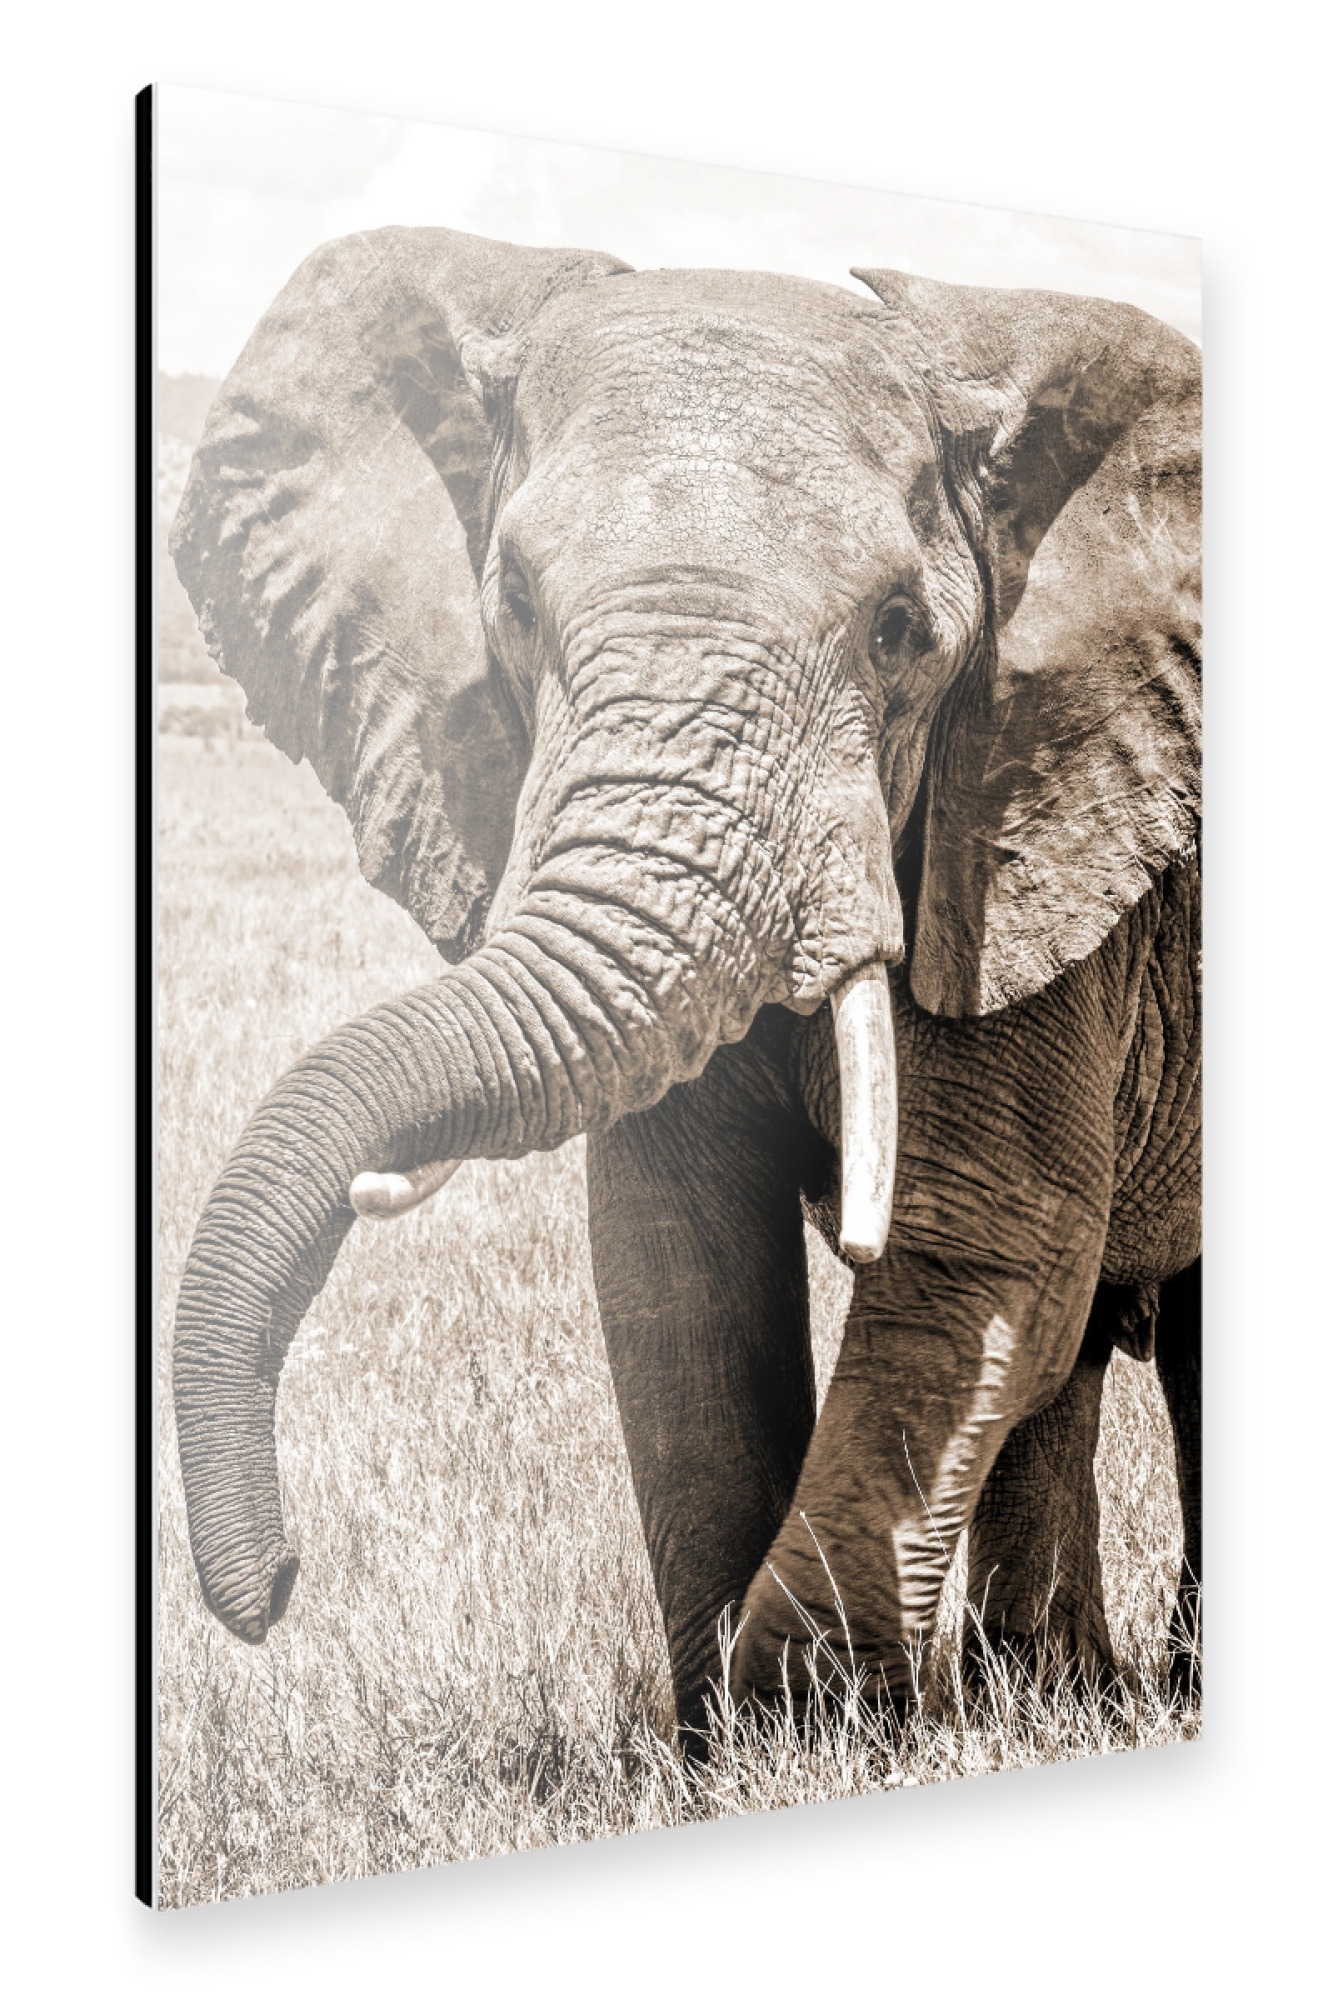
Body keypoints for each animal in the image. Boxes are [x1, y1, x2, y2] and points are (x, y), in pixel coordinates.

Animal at [168, 225, 1201, 1740]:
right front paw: (730, 1741)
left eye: (901, 631)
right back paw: (1062, 1695)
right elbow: (679, 1248)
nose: (280, 1585)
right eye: (511, 607)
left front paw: (811, 1718)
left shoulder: (1030, 821)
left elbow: (982, 1237)